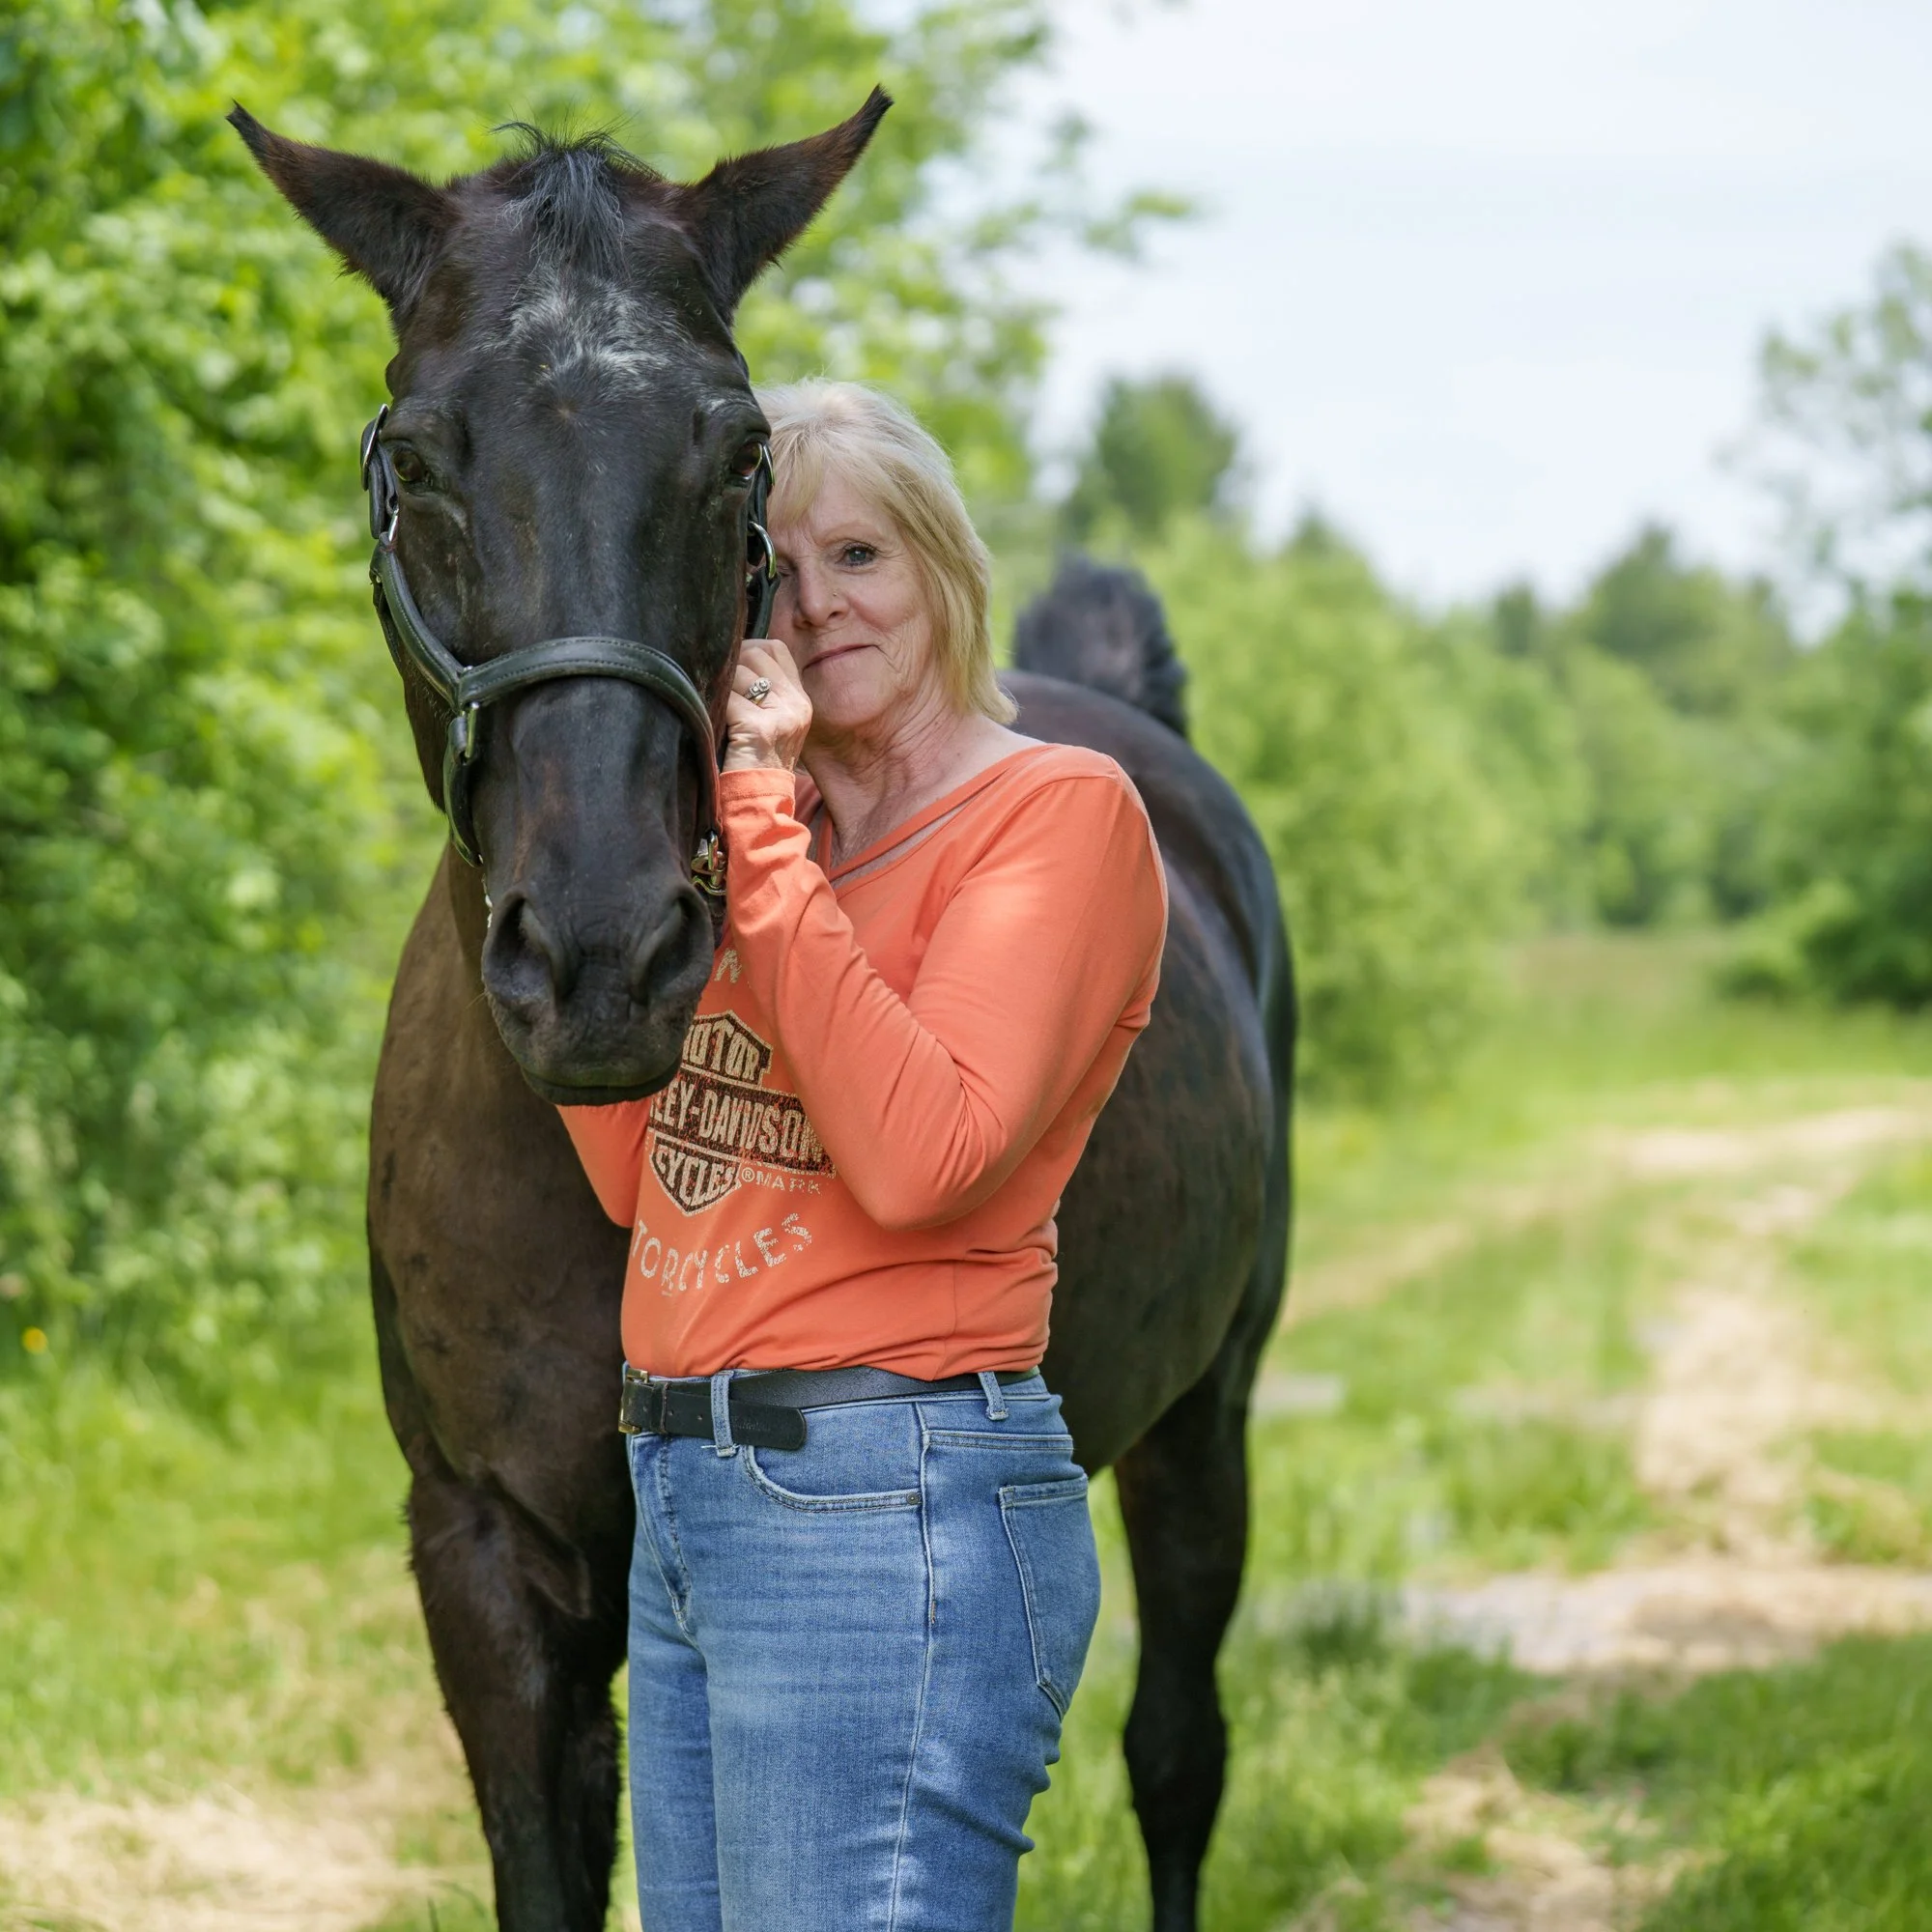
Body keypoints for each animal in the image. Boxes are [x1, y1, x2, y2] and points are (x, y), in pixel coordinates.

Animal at [233, 95, 1293, 1932]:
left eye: (739, 454)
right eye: (416, 459)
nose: (601, 953)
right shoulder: (494, 1559)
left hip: (1202, 1423)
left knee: (1176, 1756)